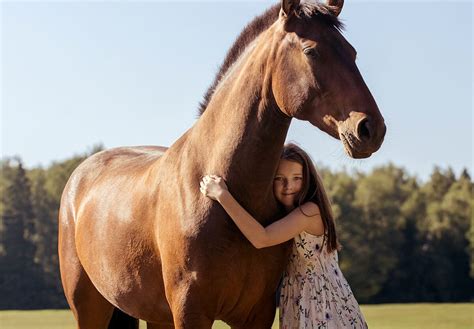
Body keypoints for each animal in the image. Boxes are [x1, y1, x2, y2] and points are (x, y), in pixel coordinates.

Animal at [58, 1, 386, 326]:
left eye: (352, 52)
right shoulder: (190, 311)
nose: (370, 129)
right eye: (311, 51)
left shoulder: (256, 313)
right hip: (89, 307)